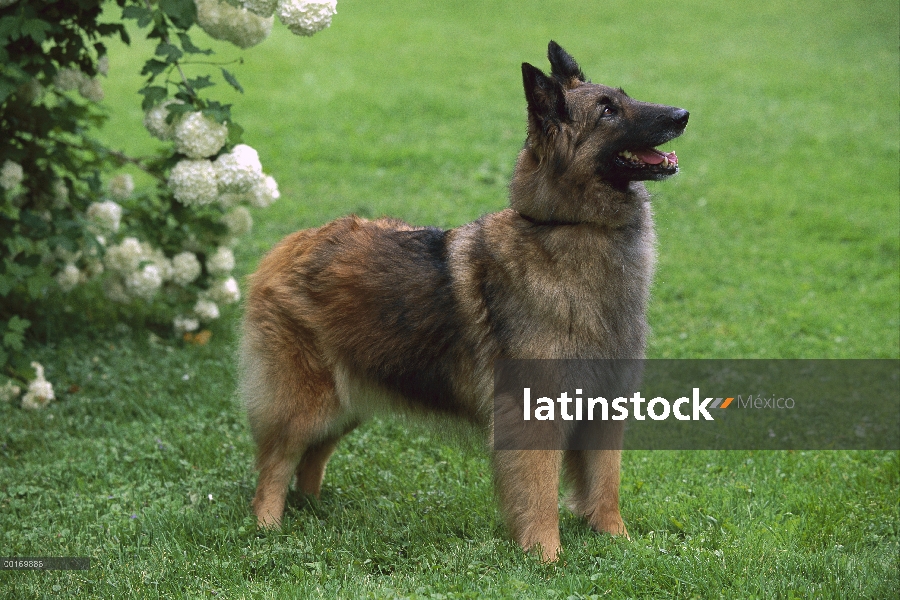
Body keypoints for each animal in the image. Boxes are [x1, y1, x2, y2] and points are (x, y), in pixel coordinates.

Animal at [239, 42, 688, 564]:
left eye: (625, 96)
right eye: (607, 111)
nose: (682, 115)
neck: (572, 226)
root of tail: (285, 247)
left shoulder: (604, 406)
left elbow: (605, 483)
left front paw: (618, 542)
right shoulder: (534, 414)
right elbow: (539, 492)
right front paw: (547, 558)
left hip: (349, 399)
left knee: (312, 455)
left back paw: (312, 509)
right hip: (305, 403)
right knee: (275, 464)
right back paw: (268, 528)